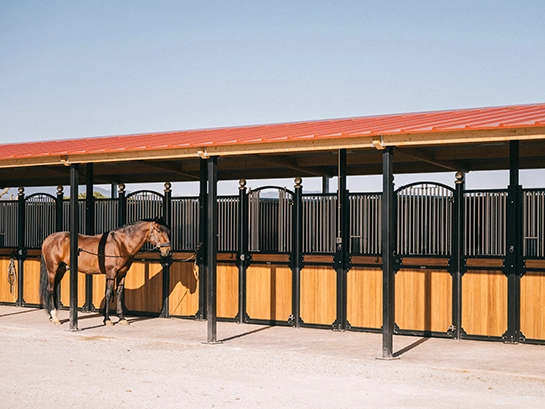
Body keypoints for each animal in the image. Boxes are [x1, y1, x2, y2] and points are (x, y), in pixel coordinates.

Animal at [40, 220, 170, 326]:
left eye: (168, 231)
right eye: (159, 230)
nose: (167, 250)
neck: (121, 244)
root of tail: (49, 239)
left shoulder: (122, 274)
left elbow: (119, 294)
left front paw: (122, 318)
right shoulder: (111, 274)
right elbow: (108, 294)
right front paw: (107, 320)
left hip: (61, 270)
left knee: (53, 290)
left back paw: (52, 316)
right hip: (52, 270)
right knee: (50, 290)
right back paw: (55, 318)